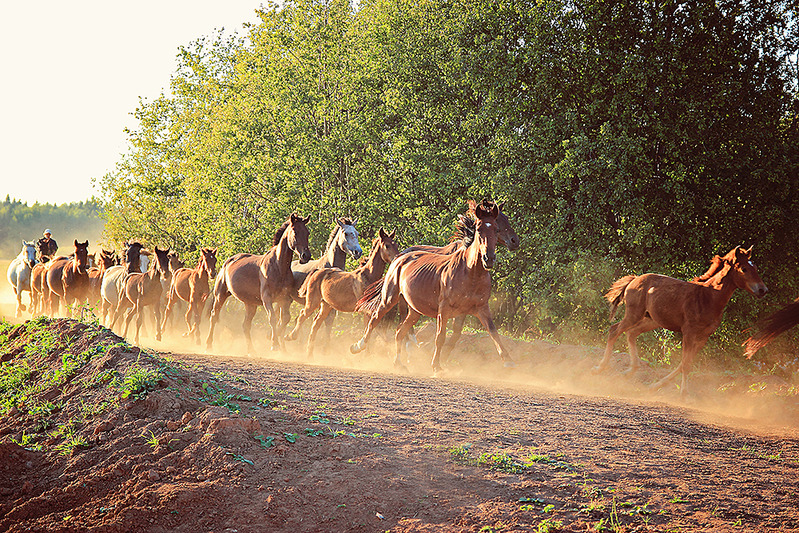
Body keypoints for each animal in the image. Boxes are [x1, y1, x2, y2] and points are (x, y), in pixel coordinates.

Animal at [206, 212, 312, 354]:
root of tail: (227, 262)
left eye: (307, 232)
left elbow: (285, 319)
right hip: (220, 295)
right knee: (213, 316)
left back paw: (251, 350)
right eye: (295, 231)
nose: (306, 256)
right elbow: (272, 318)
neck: (279, 266)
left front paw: (281, 343)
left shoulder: (283, 299)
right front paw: (274, 344)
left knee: (245, 325)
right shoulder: (267, 298)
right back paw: (208, 345)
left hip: (250, 304)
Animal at [288, 225, 400, 356]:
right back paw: (291, 336)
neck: (368, 276)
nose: (397, 258)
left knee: (316, 323)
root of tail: (316, 272)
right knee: (302, 316)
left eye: (396, 244)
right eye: (387, 245)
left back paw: (310, 354)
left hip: (326, 305)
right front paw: (362, 352)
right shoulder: (366, 311)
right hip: (312, 302)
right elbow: (369, 329)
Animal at [348, 202, 512, 372]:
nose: (489, 258)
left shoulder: (481, 308)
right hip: (389, 298)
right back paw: (358, 346)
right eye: (479, 229)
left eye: (496, 229)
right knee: (374, 319)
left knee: (400, 331)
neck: (470, 272)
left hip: (414, 310)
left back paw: (398, 363)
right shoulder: (444, 309)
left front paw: (508, 361)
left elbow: (493, 331)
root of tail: (399, 257)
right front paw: (436, 366)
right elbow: (440, 336)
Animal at [600, 247, 768, 392]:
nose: (763, 290)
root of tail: (634, 279)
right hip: (634, 314)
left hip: (651, 320)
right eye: (744, 269)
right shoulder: (689, 332)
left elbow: (684, 363)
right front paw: (684, 394)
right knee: (614, 330)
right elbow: (686, 364)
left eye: (756, 267)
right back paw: (601, 367)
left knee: (631, 333)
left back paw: (630, 371)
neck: (709, 297)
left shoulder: (703, 337)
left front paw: (655, 386)